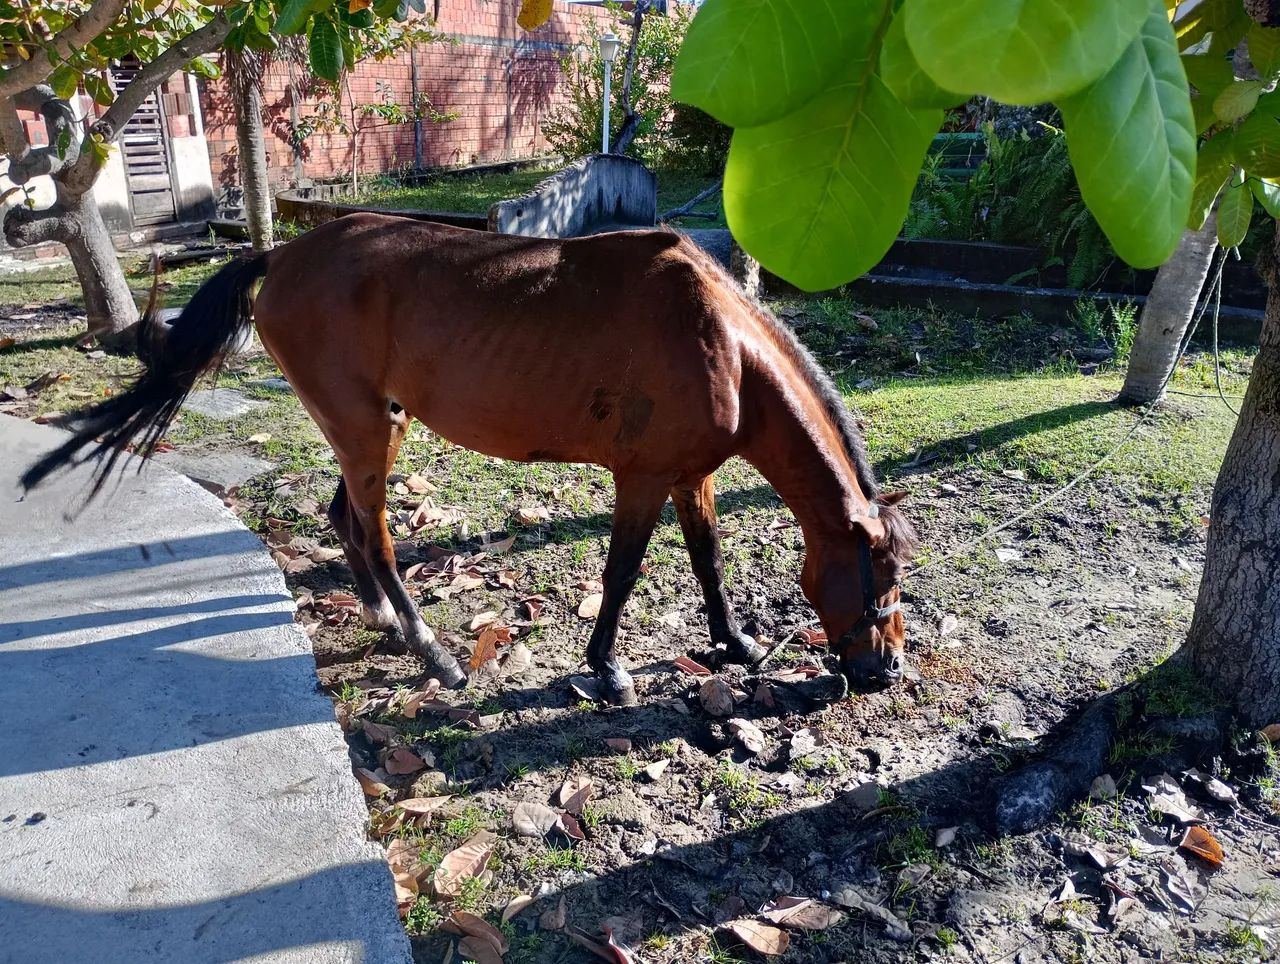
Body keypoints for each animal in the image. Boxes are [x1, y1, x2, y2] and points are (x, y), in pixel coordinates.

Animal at [22, 214, 917, 705]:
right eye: (882, 574)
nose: (887, 667)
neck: (720, 342)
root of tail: (282, 258)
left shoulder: (690, 476)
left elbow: (708, 562)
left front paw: (733, 644)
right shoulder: (641, 479)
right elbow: (623, 574)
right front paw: (607, 668)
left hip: (376, 427)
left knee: (345, 520)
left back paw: (385, 621)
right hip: (364, 430)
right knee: (373, 534)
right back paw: (432, 650)